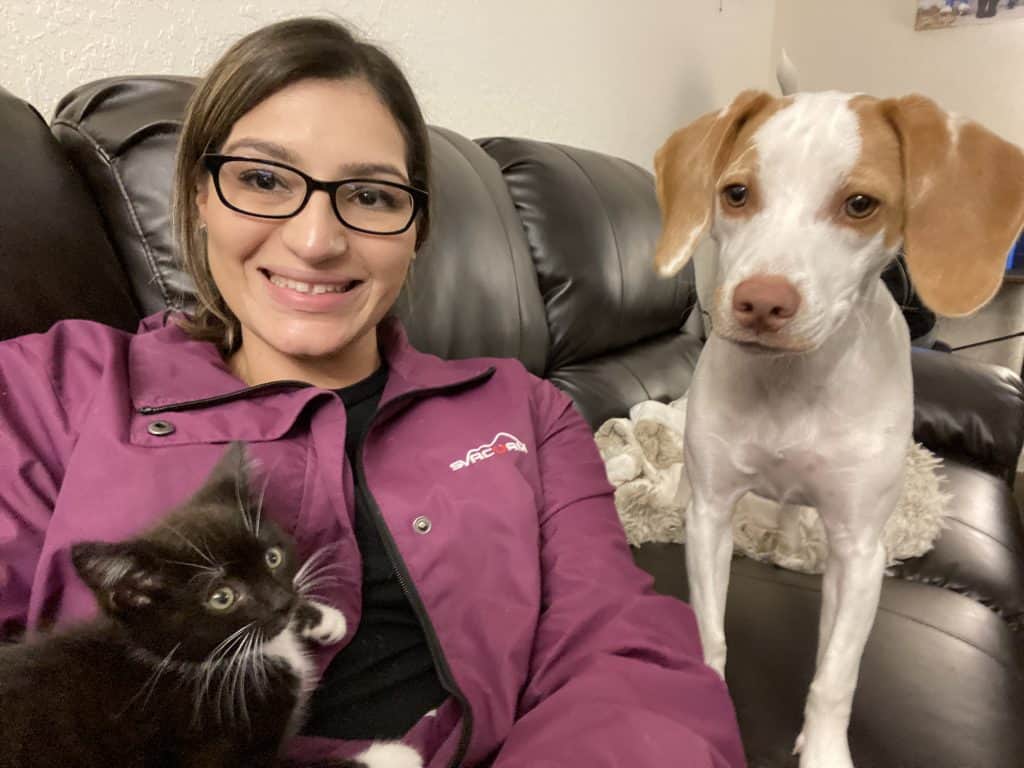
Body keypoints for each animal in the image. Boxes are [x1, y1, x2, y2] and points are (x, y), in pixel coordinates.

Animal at [651, 88, 1024, 765]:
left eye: (860, 205)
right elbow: (709, 632)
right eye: (736, 193)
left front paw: (823, 750)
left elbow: (835, 676)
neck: (790, 387)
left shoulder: (859, 550)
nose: (760, 302)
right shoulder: (712, 516)